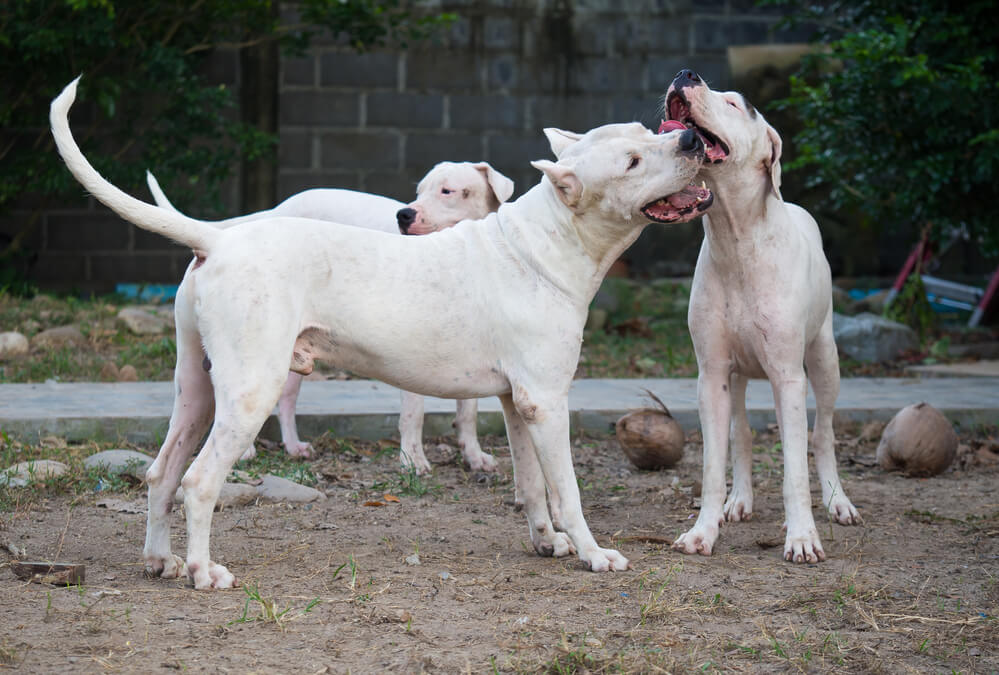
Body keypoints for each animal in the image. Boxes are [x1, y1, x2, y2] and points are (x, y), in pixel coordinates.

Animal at [146, 162, 516, 476]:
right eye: (419, 190)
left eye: (447, 191)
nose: (404, 213)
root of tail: (279, 208)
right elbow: (414, 412)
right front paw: (412, 460)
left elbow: (468, 412)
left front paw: (473, 455)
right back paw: (248, 450)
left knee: (286, 398)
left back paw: (293, 445)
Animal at [660, 70, 864, 564]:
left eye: (735, 104)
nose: (685, 74)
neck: (735, 237)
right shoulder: (711, 374)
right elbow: (714, 463)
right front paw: (703, 531)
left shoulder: (788, 377)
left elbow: (795, 468)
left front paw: (803, 536)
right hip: (735, 377)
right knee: (743, 434)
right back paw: (740, 500)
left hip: (825, 359)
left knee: (822, 434)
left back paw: (837, 502)